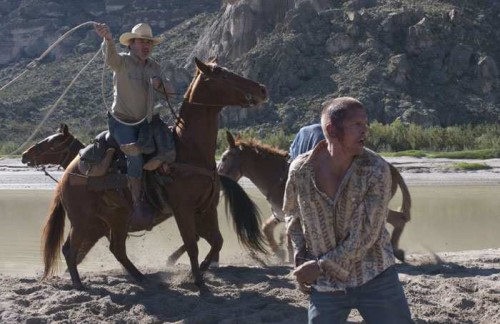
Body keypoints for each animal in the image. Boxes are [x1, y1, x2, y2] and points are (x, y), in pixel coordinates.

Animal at [22, 57, 270, 288]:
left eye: (52, 143)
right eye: (221, 74)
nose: (261, 89)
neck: (188, 151)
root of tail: (67, 177)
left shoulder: (206, 208)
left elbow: (215, 241)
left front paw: (196, 274)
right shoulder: (183, 209)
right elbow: (193, 245)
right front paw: (198, 281)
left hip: (113, 220)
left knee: (113, 249)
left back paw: (140, 277)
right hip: (84, 221)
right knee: (72, 249)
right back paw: (80, 284)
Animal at [218, 132, 410, 264]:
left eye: (225, 157)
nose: (218, 178)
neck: (277, 178)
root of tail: (391, 167)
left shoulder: (291, 214)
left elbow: (290, 239)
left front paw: (288, 258)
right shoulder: (280, 214)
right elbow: (267, 228)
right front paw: (279, 253)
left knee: (397, 219)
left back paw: (396, 250)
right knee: (398, 218)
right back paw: (396, 251)